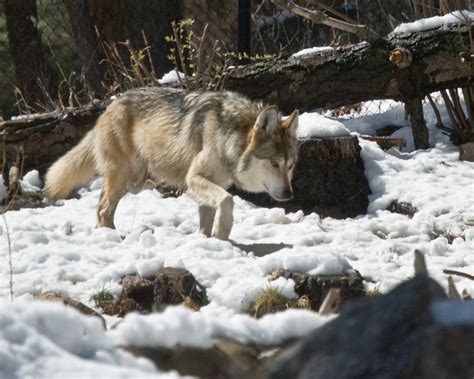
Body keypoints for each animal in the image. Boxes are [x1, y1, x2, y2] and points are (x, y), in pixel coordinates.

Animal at [43, 87, 296, 239]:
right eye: (273, 163)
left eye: (290, 165)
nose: (289, 194)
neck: (228, 135)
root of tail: (108, 108)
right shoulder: (193, 179)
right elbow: (228, 200)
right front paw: (223, 233)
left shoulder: (209, 187)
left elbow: (207, 221)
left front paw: (208, 243)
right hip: (128, 179)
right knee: (104, 209)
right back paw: (113, 238)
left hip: (136, 182)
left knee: (102, 208)